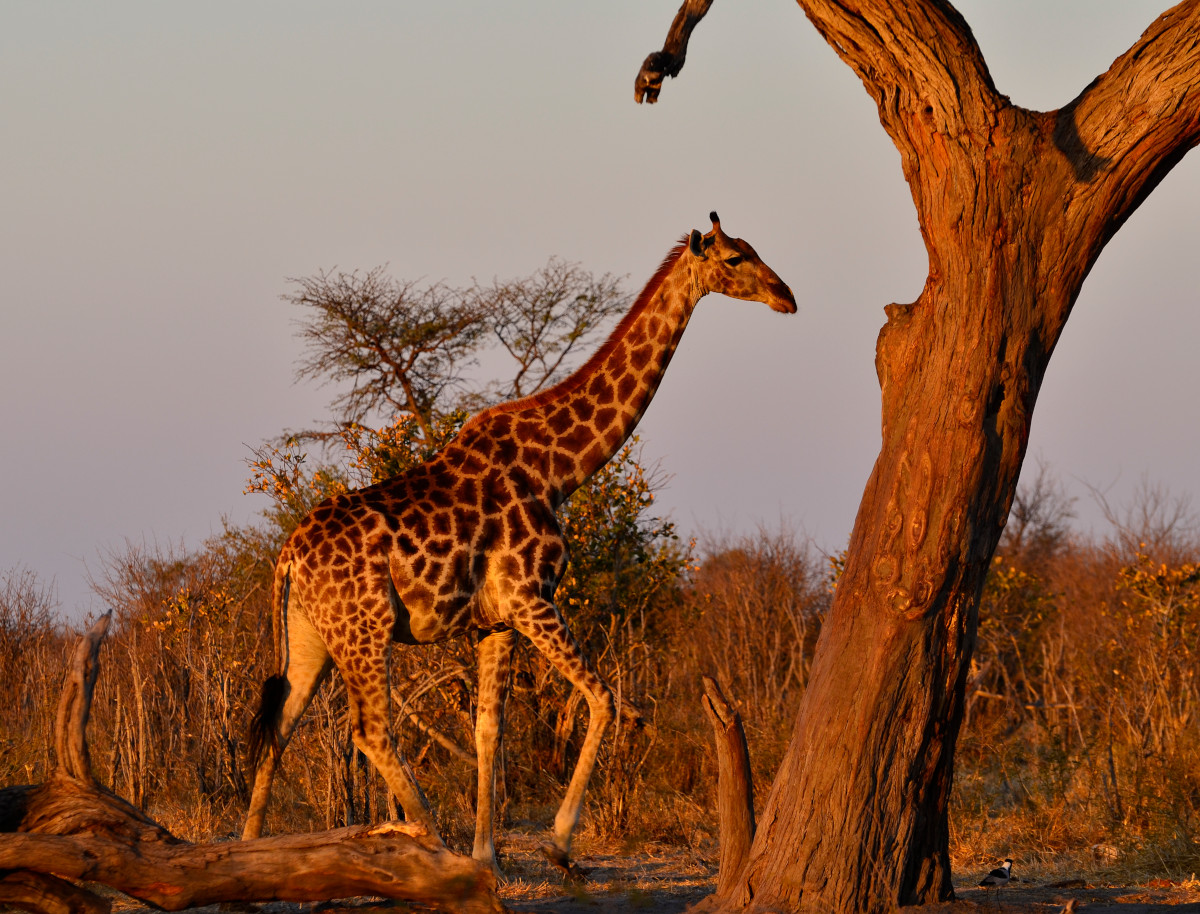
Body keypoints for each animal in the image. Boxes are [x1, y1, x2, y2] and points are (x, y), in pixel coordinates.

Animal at [241, 212, 796, 876]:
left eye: (756, 249)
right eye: (735, 258)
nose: (787, 297)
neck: (557, 469)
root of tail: (287, 557)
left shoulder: (496, 620)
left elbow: (489, 730)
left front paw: (490, 859)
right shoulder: (534, 599)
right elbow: (604, 699)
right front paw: (558, 843)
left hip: (312, 635)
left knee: (278, 728)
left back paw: (245, 857)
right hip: (365, 629)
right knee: (370, 732)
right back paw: (429, 843)